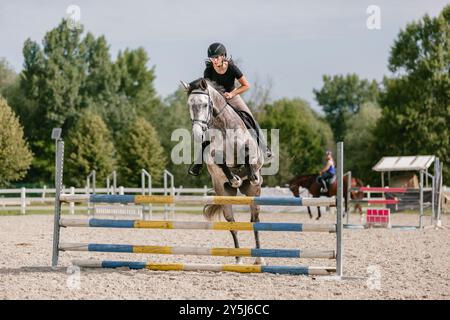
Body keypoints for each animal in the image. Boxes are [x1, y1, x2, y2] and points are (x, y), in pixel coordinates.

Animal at [180, 79, 264, 264]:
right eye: (189, 105)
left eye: (205, 104)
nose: (197, 132)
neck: (222, 126)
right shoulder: (213, 154)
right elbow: (218, 157)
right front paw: (234, 178)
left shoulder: (250, 150)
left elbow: (247, 153)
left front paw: (251, 173)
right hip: (224, 192)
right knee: (232, 224)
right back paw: (239, 260)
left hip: (253, 192)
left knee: (254, 220)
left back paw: (259, 259)